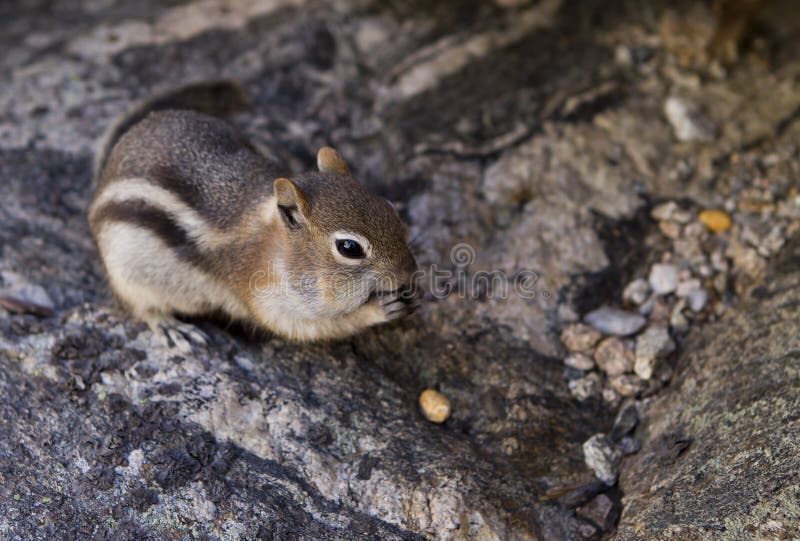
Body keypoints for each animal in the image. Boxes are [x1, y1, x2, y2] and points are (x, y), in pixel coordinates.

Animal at [89, 82, 418, 348]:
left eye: (389, 208)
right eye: (349, 248)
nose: (410, 273)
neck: (274, 247)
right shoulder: (268, 299)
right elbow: (310, 327)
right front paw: (379, 309)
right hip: (125, 270)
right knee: (139, 306)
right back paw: (169, 326)